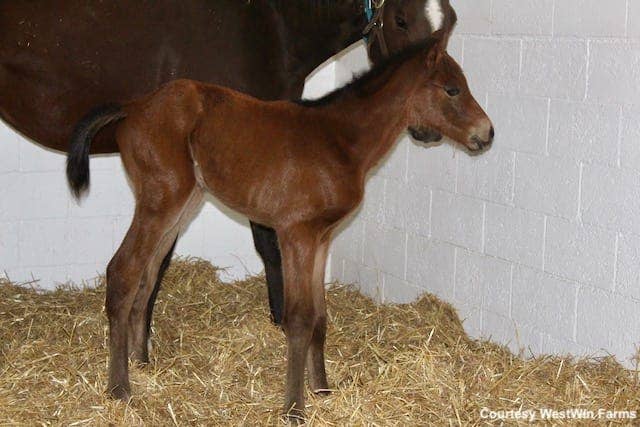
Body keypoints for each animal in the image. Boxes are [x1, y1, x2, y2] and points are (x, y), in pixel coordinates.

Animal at [65, 31, 493, 420]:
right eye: (453, 89)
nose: (486, 134)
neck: (340, 141)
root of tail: (134, 105)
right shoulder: (296, 234)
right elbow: (299, 318)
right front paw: (294, 409)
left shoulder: (321, 238)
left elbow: (320, 317)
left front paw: (323, 390)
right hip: (162, 200)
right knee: (123, 271)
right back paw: (120, 388)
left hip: (181, 204)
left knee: (149, 275)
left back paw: (143, 365)